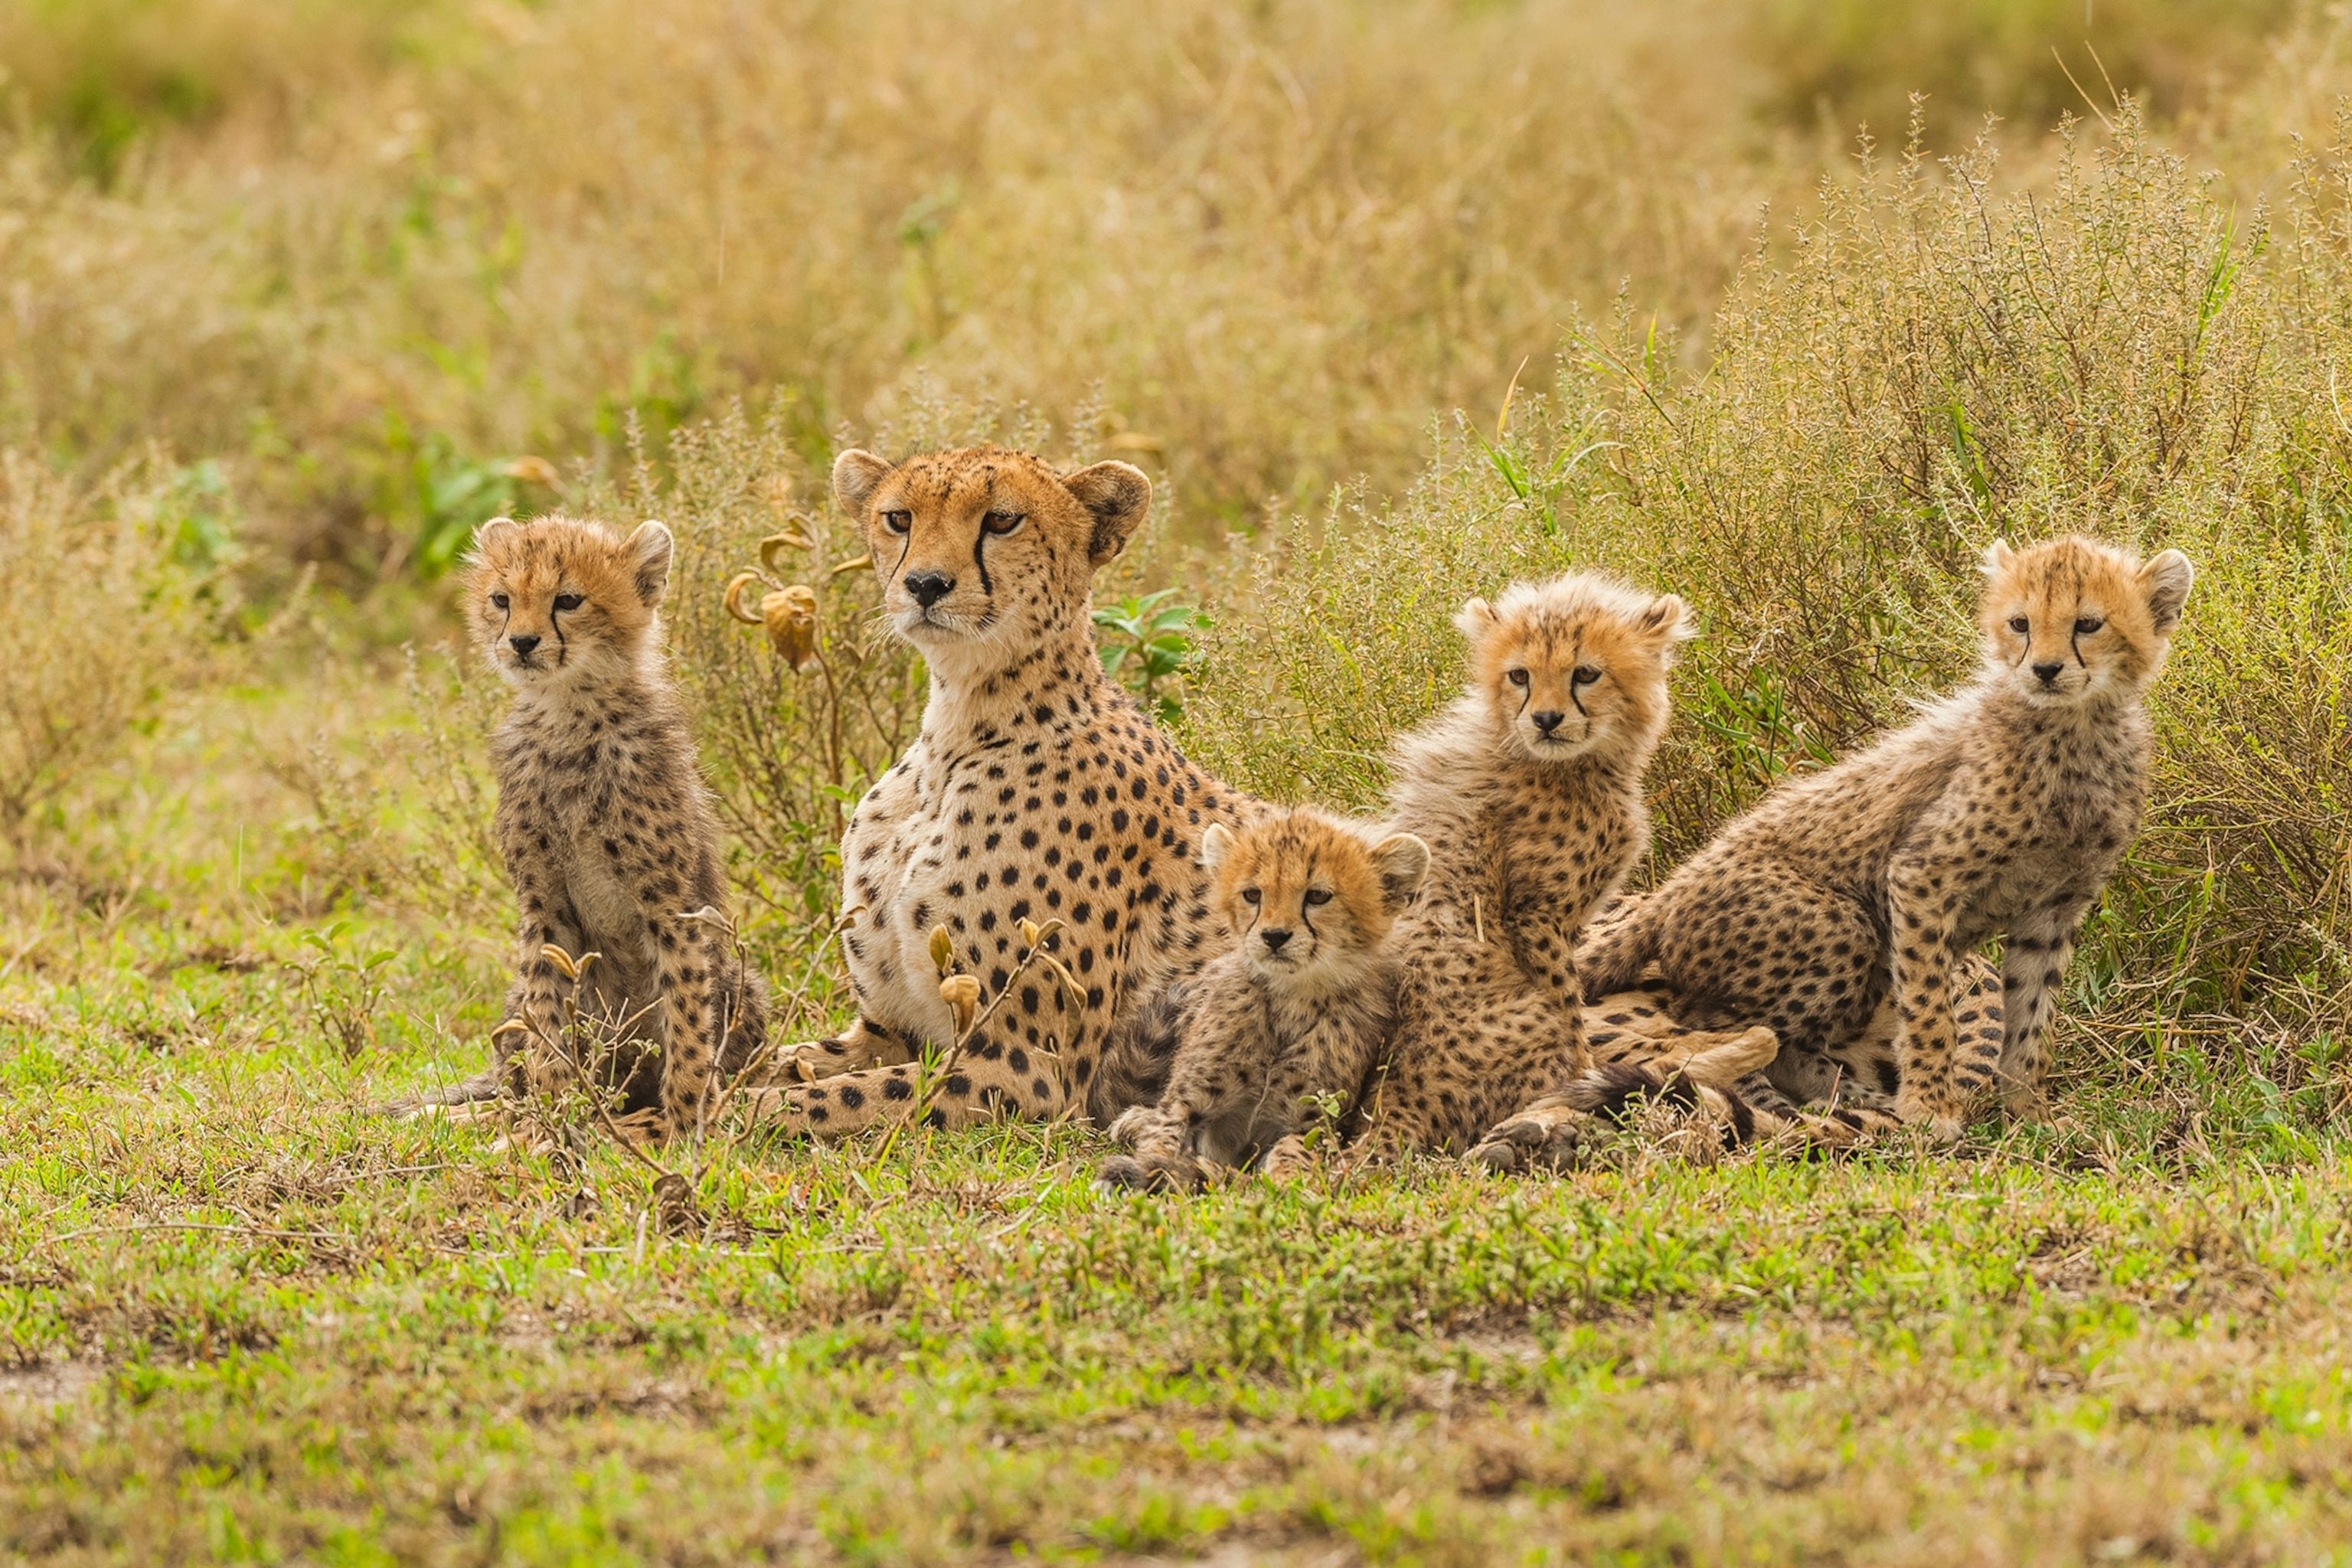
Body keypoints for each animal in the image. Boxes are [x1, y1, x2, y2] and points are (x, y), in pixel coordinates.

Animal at [395, 514, 768, 1138]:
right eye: (501, 600)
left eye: (567, 600)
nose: (522, 642)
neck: (568, 713)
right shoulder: (542, 902)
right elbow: (548, 1015)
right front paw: (552, 1121)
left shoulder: (670, 906)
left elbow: (687, 1014)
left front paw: (686, 1119)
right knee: (507, 1083)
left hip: (741, 985)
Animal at [740, 446, 1261, 1139]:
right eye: (899, 517)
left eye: (1003, 520)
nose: (926, 584)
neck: (957, 732)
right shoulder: (887, 1030)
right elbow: (774, 1063)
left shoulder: (1027, 1068)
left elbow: (817, 1098)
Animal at [1098, 808, 1430, 1193]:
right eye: (1253, 894)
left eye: (1318, 896)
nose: (1274, 936)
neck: (1292, 999)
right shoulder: (1185, 1103)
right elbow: (1164, 1134)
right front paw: (1149, 1163)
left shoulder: (1308, 1124)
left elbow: (1292, 1154)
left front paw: (1288, 1181)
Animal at [1348, 571, 1698, 1158]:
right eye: (1520, 676)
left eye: (1585, 673)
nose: (1546, 719)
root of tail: (1390, 1104)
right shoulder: (1535, 915)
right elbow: (1567, 1002)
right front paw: (1579, 1079)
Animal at [1574, 534, 2194, 1142]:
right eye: (2020, 623)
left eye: (2087, 624)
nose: (2043, 669)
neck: (2079, 726)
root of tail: (1670, 892)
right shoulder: (1922, 875)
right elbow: (1929, 1006)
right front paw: (1931, 1108)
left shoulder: (2054, 907)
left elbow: (2032, 1015)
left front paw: (2028, 1112)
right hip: (1841, 927)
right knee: (1713, 1023)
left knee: (1788, 1045)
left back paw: (1856, 1101)